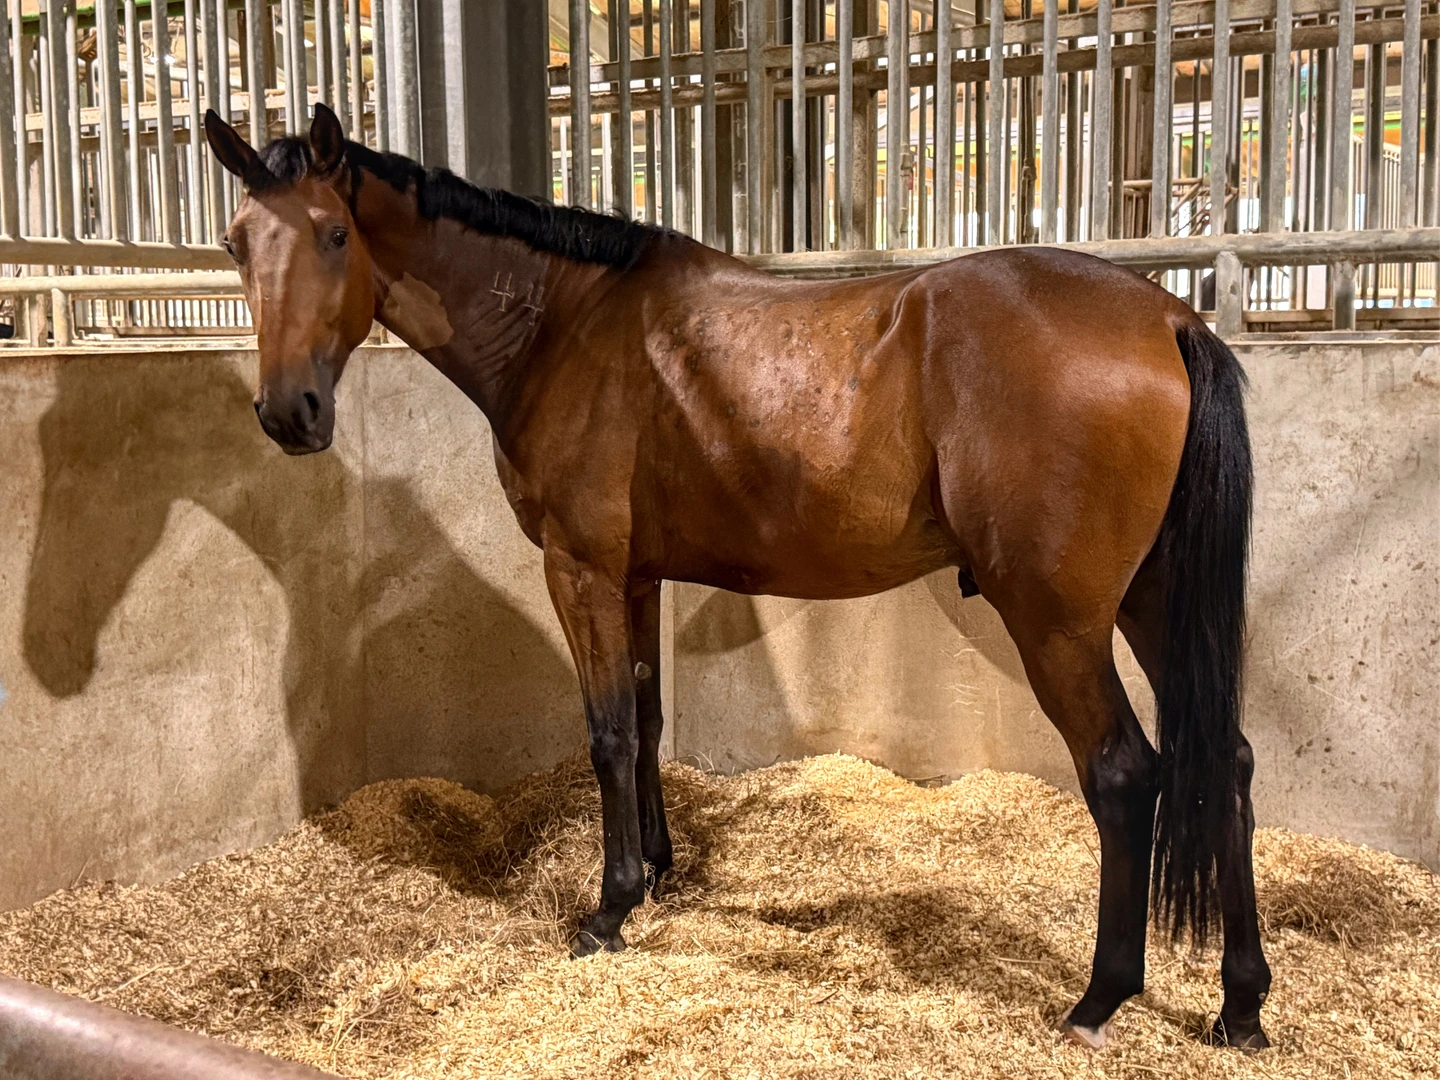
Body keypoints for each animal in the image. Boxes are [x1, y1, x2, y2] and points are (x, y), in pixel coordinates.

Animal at [202, 103, 1270, 1051]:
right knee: (1227, 761)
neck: (565, 323)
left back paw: (1101, 997)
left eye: (335, 233)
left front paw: (609, 910)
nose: (289, 413)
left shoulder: (580, 570)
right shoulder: (633, 579)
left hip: (1060, 622)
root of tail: (1169, 319)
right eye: (236, 243)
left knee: (1125, 774)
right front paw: (658, 871)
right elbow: (643, 722)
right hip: (1150, 605)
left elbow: (606, 732)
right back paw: (1240, 1005)